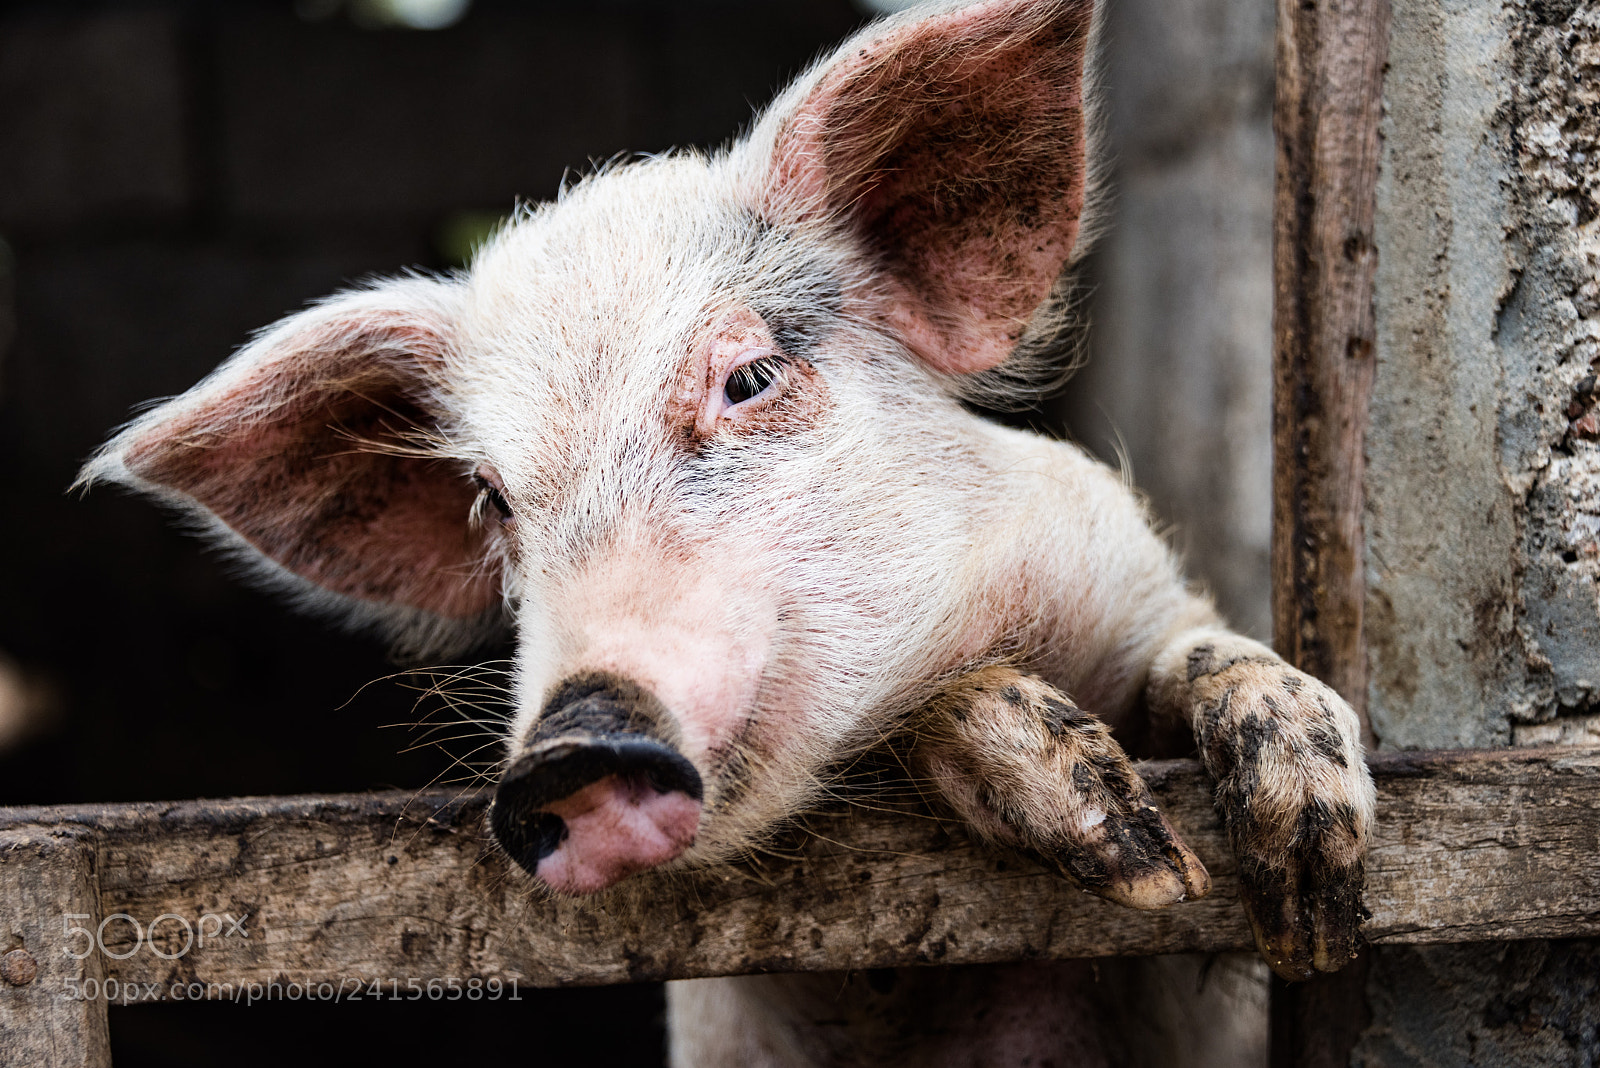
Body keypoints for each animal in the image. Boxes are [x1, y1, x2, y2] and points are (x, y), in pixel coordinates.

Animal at [79, 0, 1376, 1063]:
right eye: (494, 498)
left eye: (747, 378)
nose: (572, 736)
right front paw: (1115, 839)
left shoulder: (1129, 583)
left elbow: (1207, 668)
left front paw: (1308, 878)